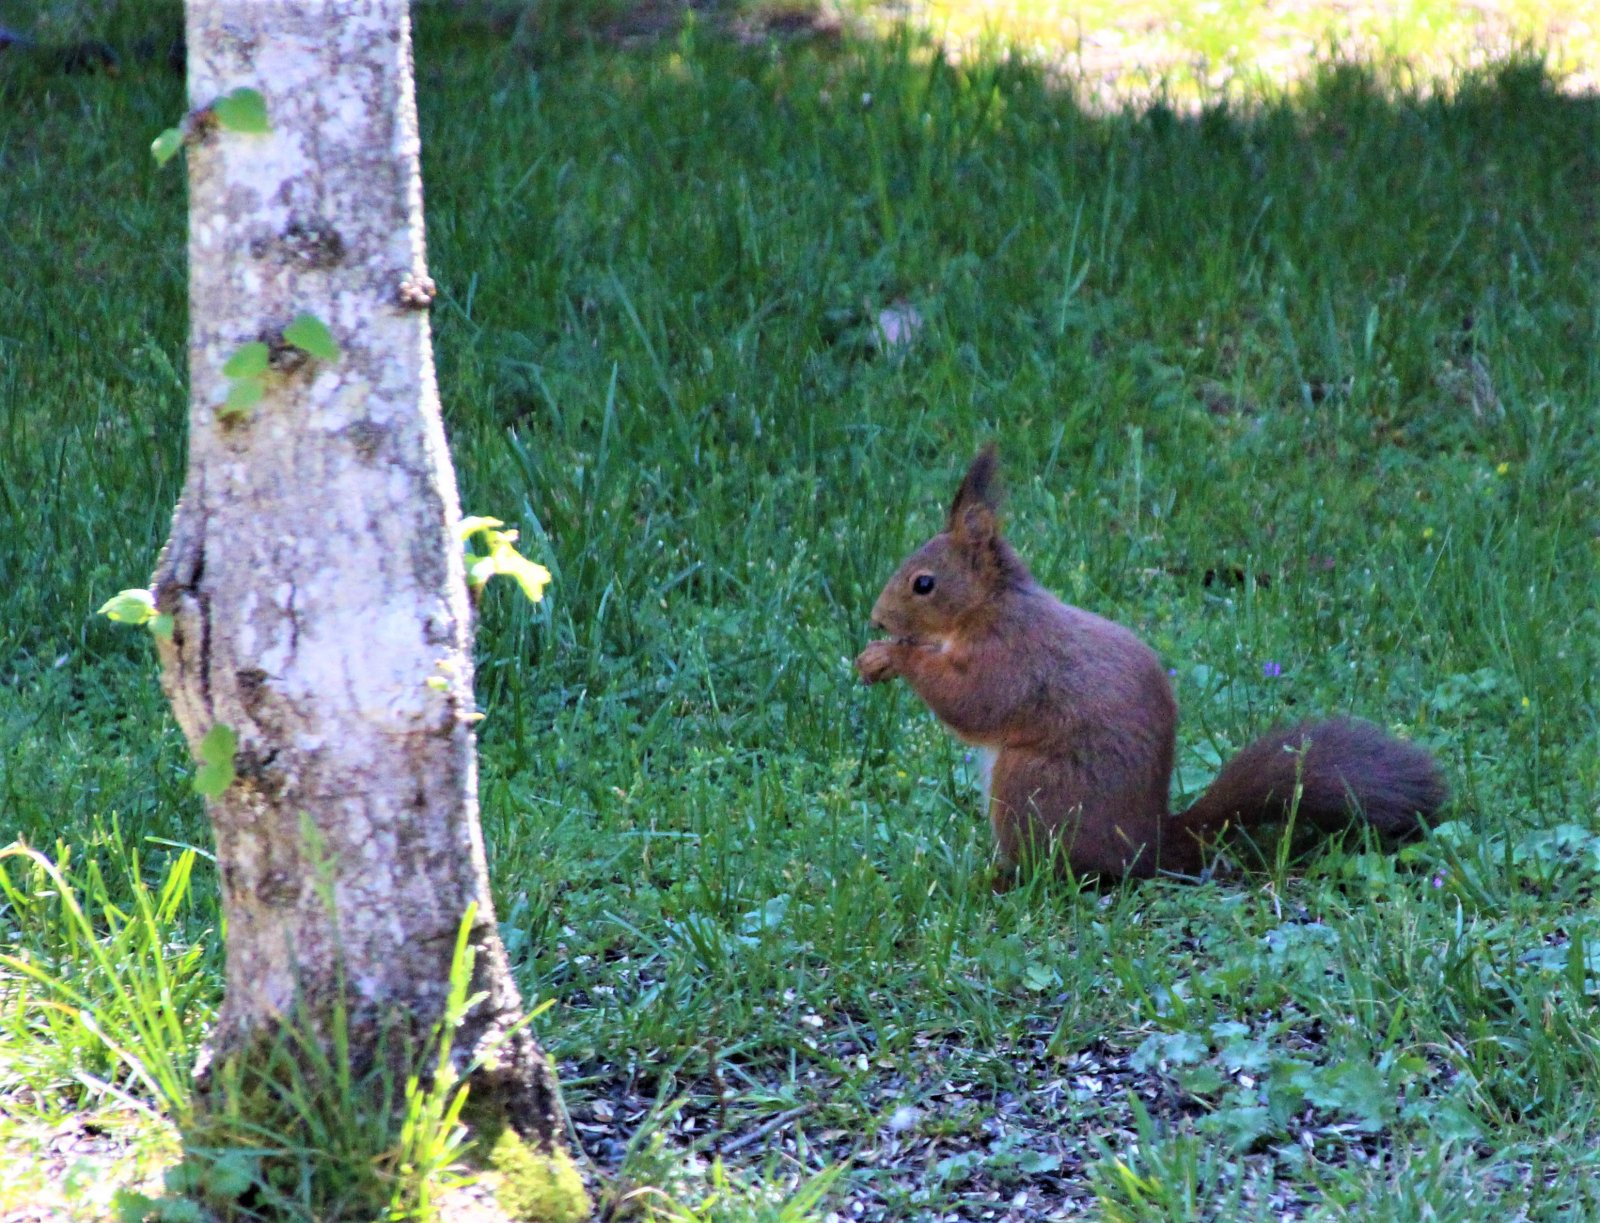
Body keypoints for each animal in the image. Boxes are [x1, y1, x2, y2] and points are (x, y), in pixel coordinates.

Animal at [864, 448, 1452, 877]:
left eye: (923, 584)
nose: (875, 619)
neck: (989, 606)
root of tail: (1145, 847)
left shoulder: (1011, 654)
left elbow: (973, 704)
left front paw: (894, 656)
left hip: (1029, 787)